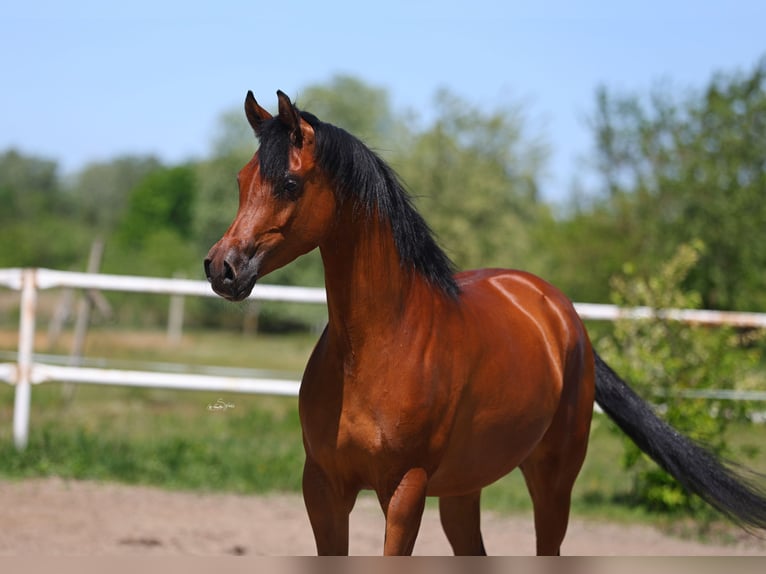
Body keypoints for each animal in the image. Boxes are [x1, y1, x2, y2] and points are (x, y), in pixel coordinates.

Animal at [204, 90, 766, 555]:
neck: (376, 346)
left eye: (290, 183)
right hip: (463, 488)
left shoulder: (404, 491)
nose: (221, 267)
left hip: (552, 480)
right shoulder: (323, 487)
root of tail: (561, 314)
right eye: (241, 180)